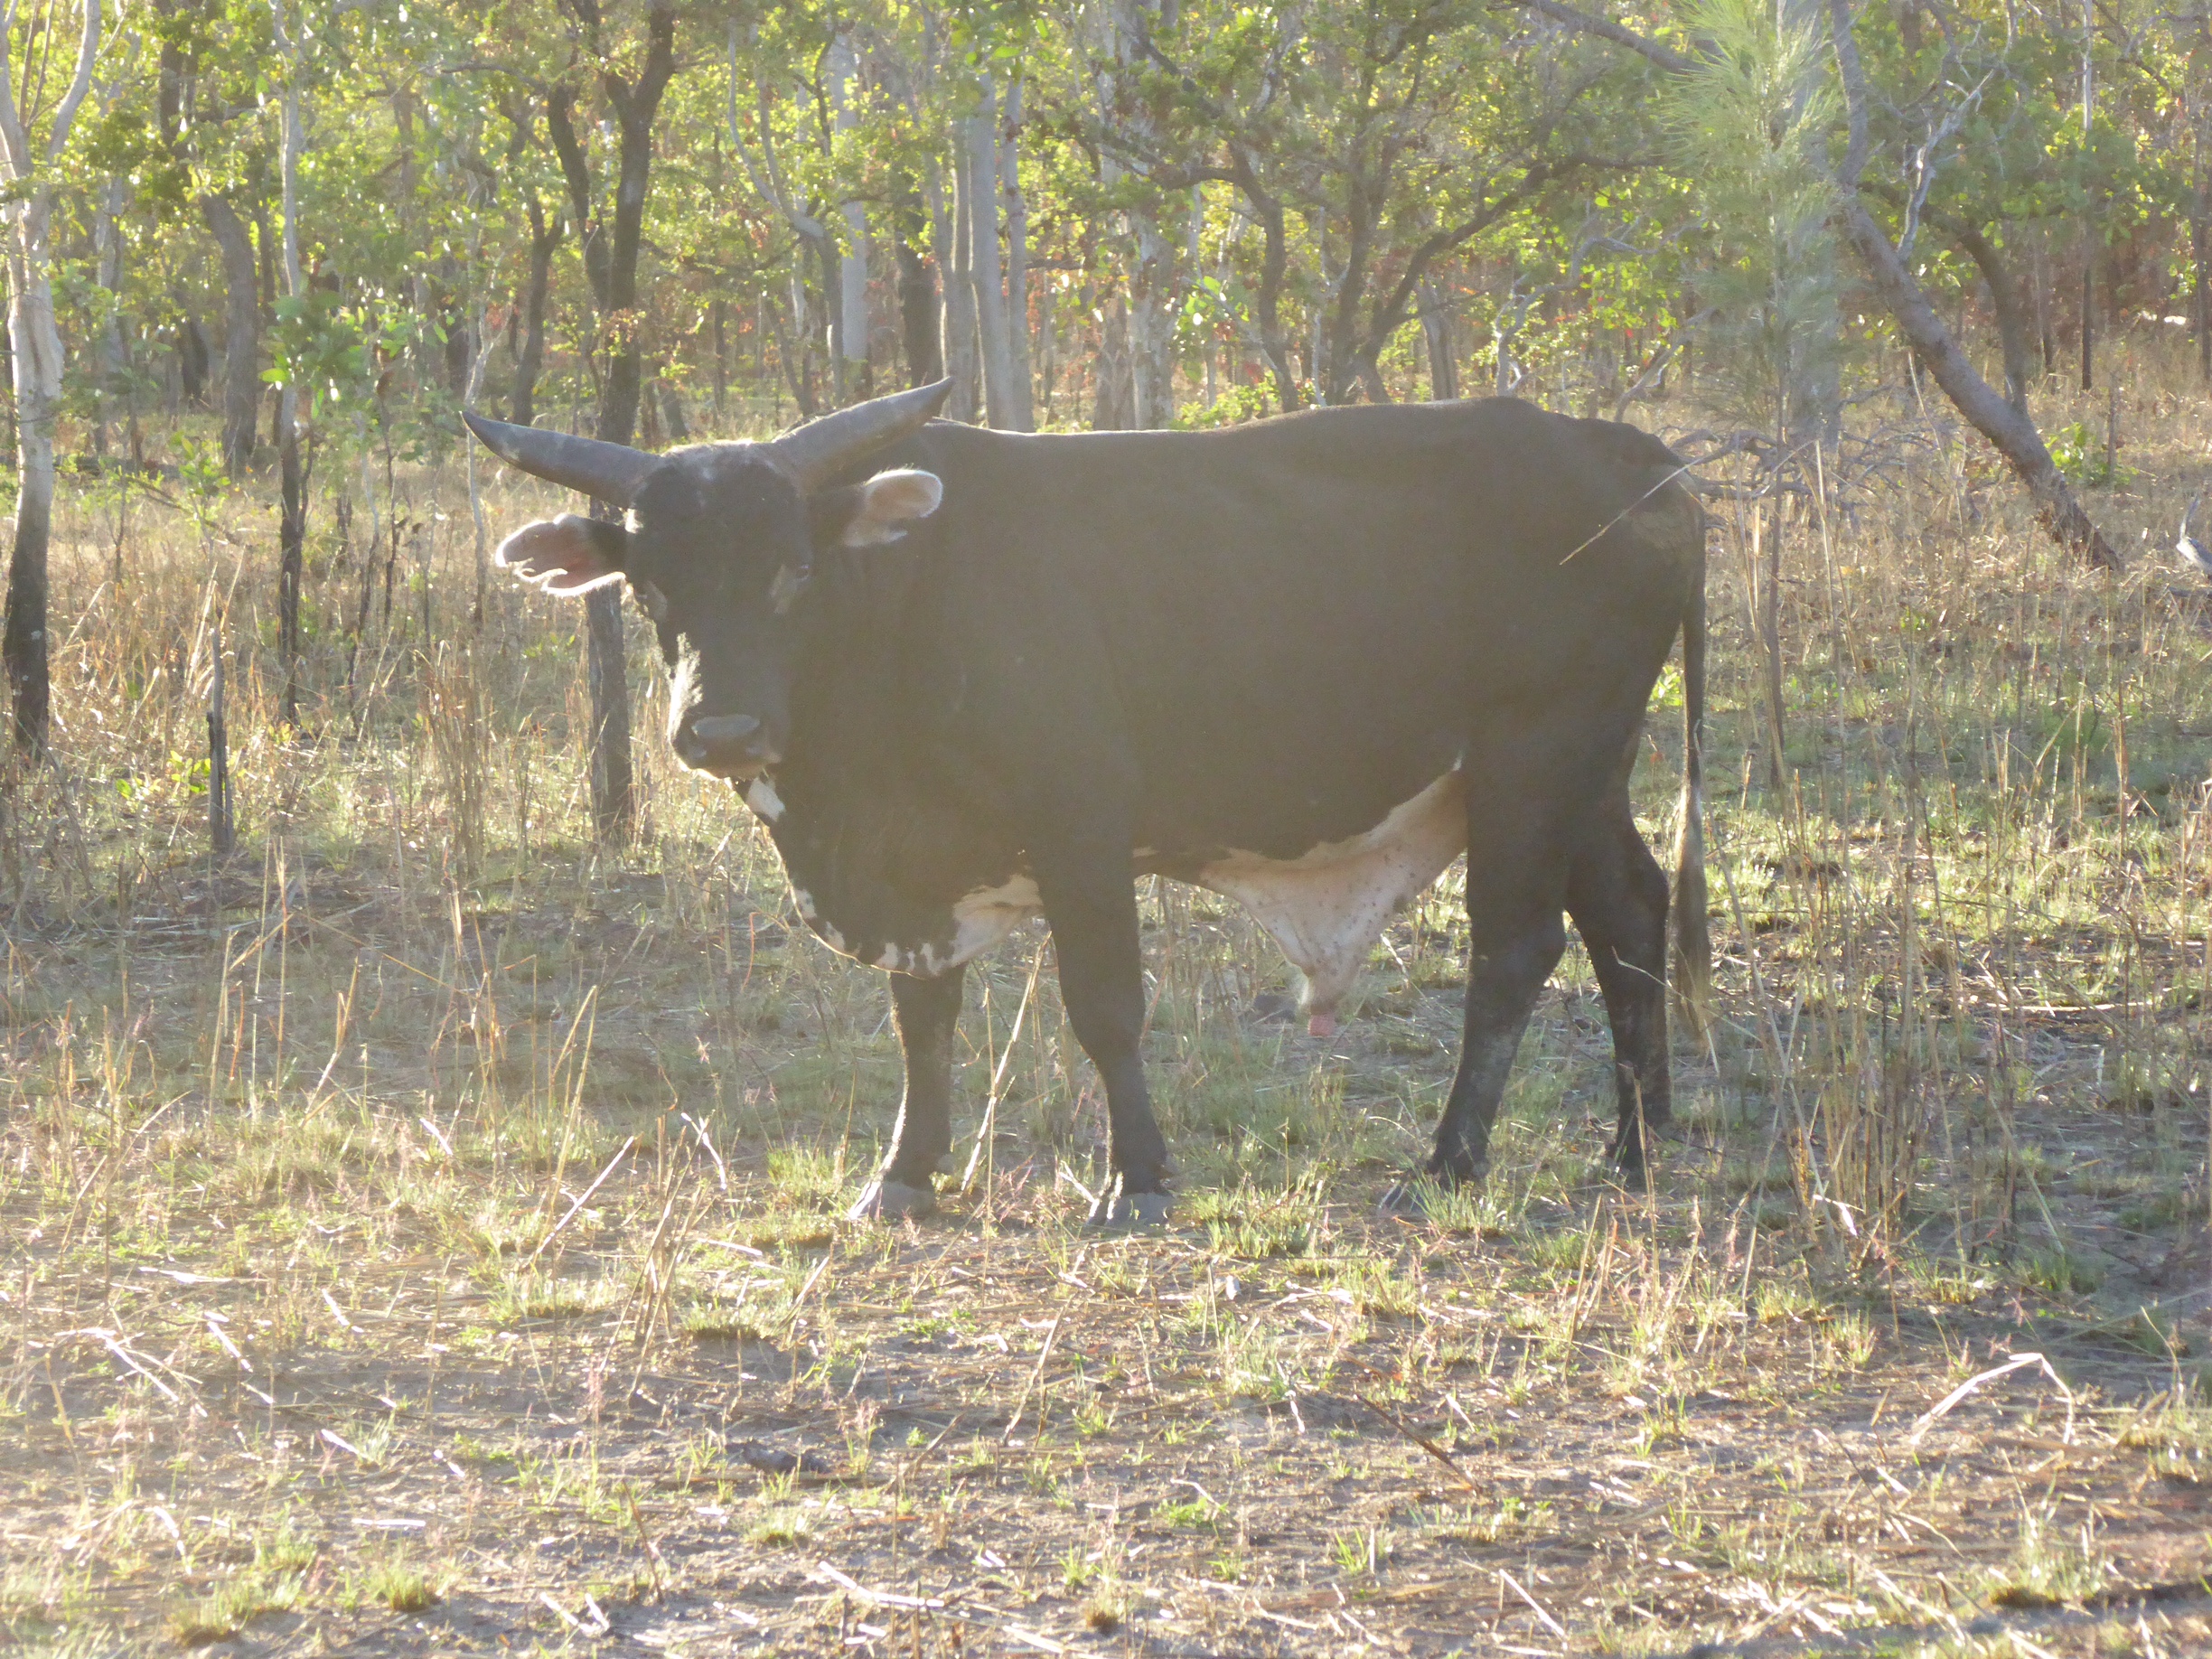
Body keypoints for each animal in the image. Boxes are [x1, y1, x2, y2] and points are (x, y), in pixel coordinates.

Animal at [462, 380, 1707, 1238]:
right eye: (649, 583)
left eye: (792, 570)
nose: (719, 729)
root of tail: (1634, 456)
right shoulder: (917, 877)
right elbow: (924, 1023)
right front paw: (904, 1174)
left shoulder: (1082, 825)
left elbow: (1104, 1007)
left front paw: (1138, 1179)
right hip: (1584, 778)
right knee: (1630, 918)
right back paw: (1637, 1145)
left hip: (1533, 763)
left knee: (1516, 950)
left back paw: (1452, 1161)